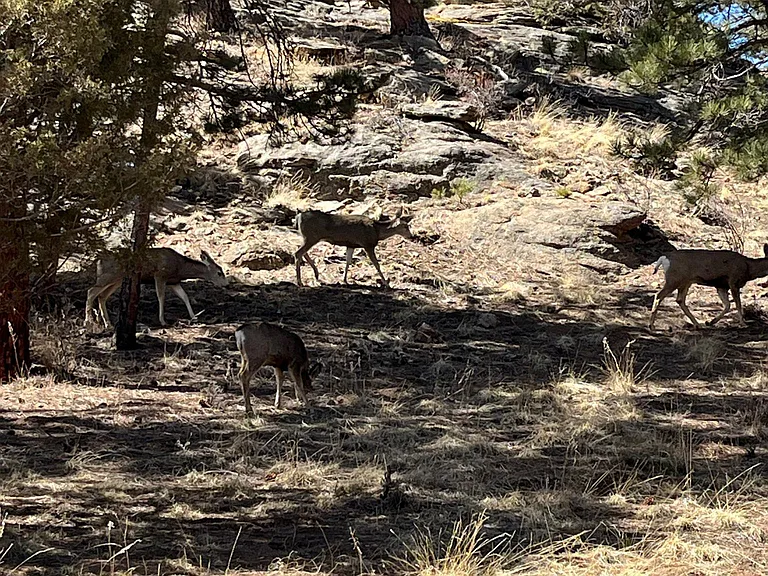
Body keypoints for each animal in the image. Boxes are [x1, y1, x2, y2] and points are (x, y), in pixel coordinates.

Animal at [85, 247, 228, 328]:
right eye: (219, 273)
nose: (226, 284)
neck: (180, 268)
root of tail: (98, 260)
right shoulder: (160, 275)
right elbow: (161, 297)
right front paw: (162, 321)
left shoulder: (173, 282)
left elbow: (185, 297)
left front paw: (194, 317)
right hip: (108, 275)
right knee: (91, 292)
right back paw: (88, 321)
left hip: (117, 280)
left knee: (101, 296)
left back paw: (108, 324)